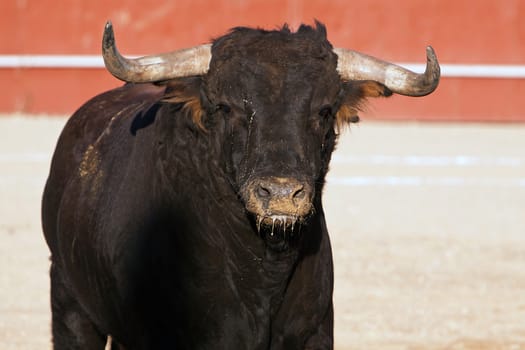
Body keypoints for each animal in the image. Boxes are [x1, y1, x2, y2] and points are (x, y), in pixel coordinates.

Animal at [41, 22, 438, 350]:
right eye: (225, 107)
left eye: (325, 110)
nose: (280, 194)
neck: (264, 274)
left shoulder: (315, 334)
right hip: (69, 301)